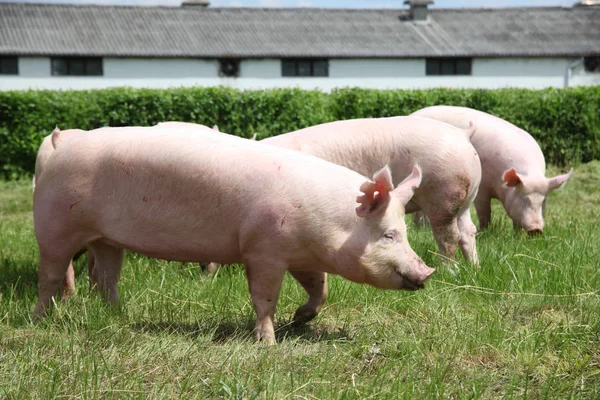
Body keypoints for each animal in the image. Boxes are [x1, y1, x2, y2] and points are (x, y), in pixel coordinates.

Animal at [32, 124, 434, 344]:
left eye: (403, 232)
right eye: (388, 235)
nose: (427, 271)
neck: (327, 223)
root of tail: (59, 149)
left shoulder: (300, 254)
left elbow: (320, 286)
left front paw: (301, 318)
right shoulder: (263, 250)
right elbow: (264, 297)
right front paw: (268, 342)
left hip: (106, 238)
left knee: (107, 277)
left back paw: (118, 314)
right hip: (54, 226)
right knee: (50, 275)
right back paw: (41, 320)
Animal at [410, 107, 576, 238]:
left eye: (543, 201)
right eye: (524, 199)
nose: (536, 230)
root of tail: (413, 114)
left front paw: (516, 235)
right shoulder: (482, 189)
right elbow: (485, 213)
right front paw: (483, 232)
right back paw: (420, 228)